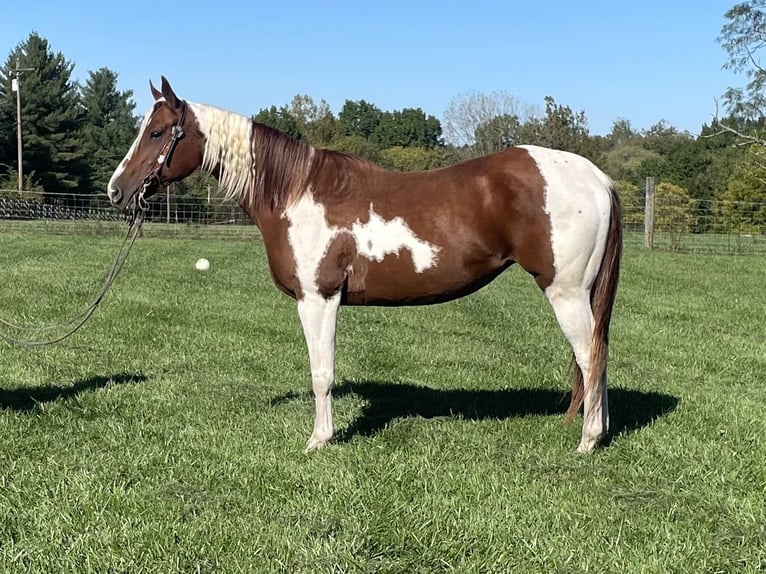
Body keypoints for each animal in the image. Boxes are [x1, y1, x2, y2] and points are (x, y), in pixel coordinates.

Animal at [108, 76, 624, 454]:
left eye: (157, 133)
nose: (116, 190)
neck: (296, 192)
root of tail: (597, 177)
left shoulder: (318, 300)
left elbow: (322, 373)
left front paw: (319, 440)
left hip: (566, 292)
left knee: (590, 356)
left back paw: (587, 442)